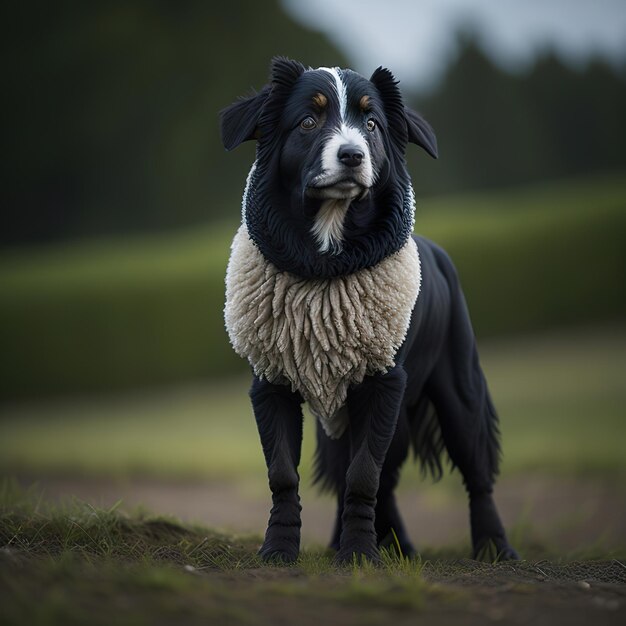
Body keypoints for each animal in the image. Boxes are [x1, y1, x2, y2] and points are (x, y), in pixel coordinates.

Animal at [219, 58, 516, 564]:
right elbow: (285, 474)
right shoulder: (272, 382)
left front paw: (359, 555)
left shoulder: (382, 381)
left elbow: (363, 476)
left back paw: (494, 547)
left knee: (475, 475)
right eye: (308, 121)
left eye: (372, 124)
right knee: (377, 478)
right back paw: (390, 545)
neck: (325, 261)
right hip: (342, 419)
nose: (353, 155)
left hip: (459, 392)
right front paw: (281, 548)